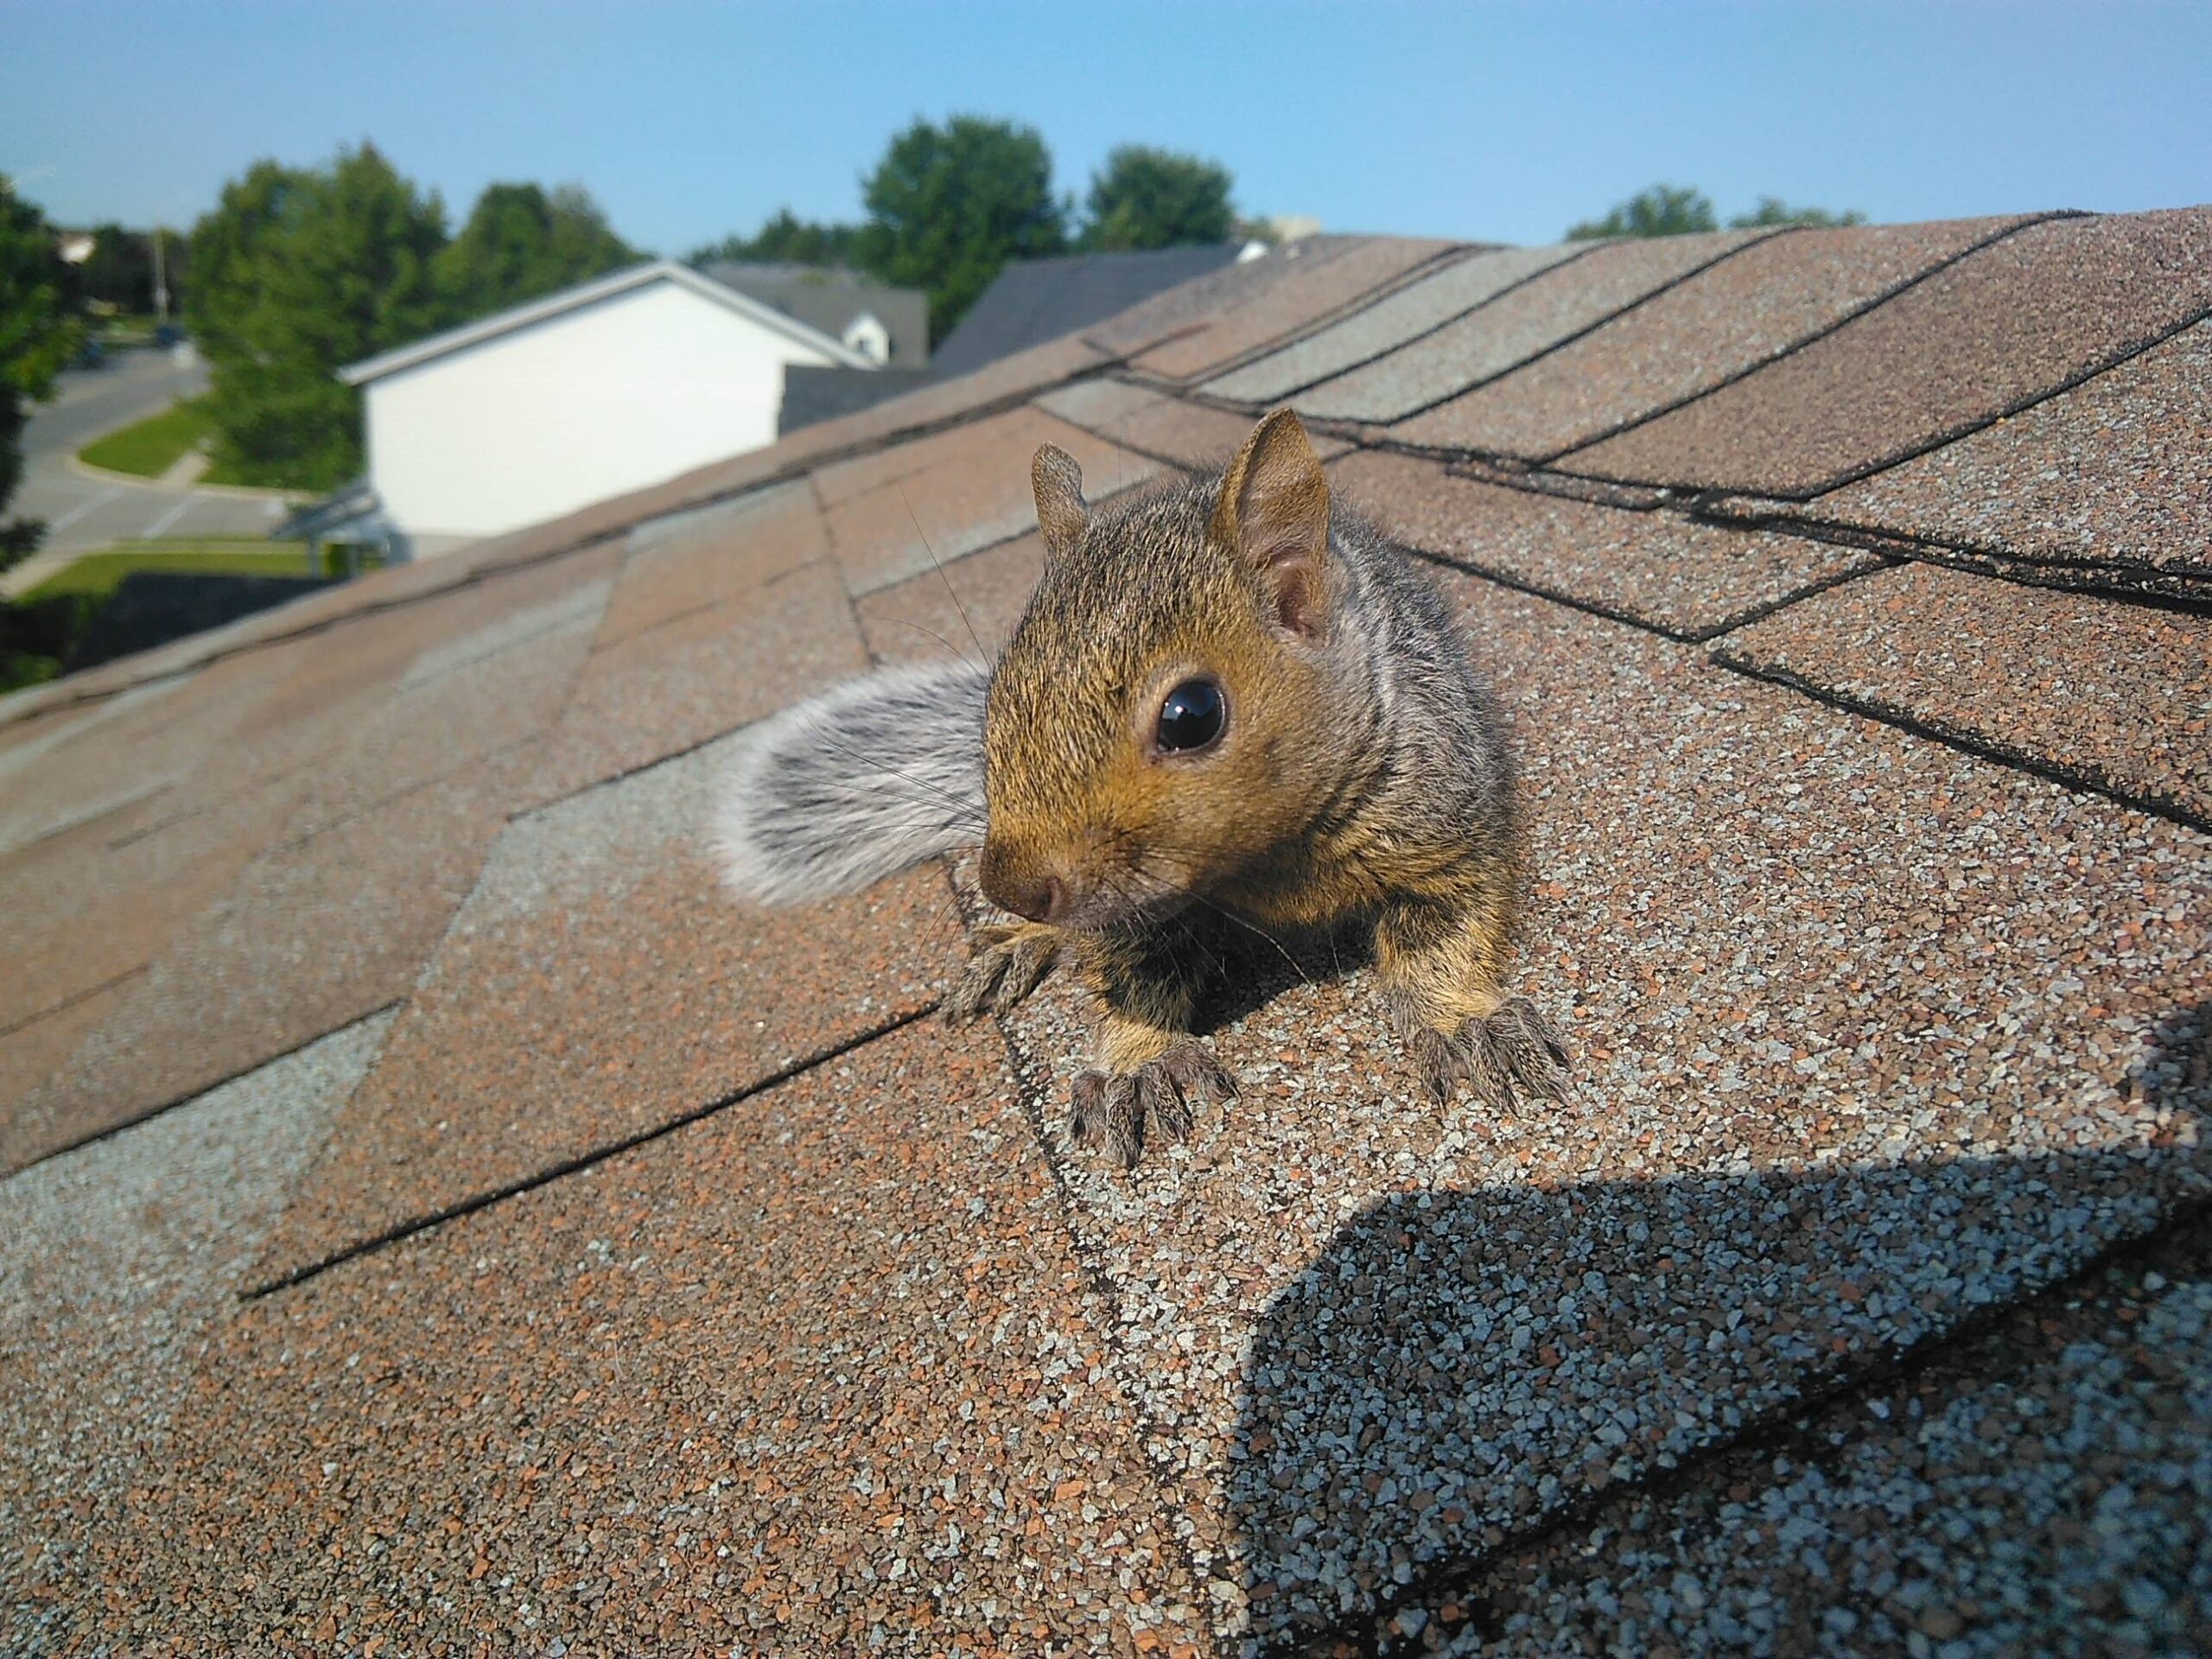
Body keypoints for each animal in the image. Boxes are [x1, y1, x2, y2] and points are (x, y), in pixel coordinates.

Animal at [716, 407, 1566, 1167]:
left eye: (1192, 716)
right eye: (997, 698)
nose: (1011, 886)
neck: (1269, 855)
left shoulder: (1442, 820)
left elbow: (1443, 932)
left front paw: (1464, 1022)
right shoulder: (1130, 911)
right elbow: (1133, 972)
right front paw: (1139, 1061)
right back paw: (1018, 944)